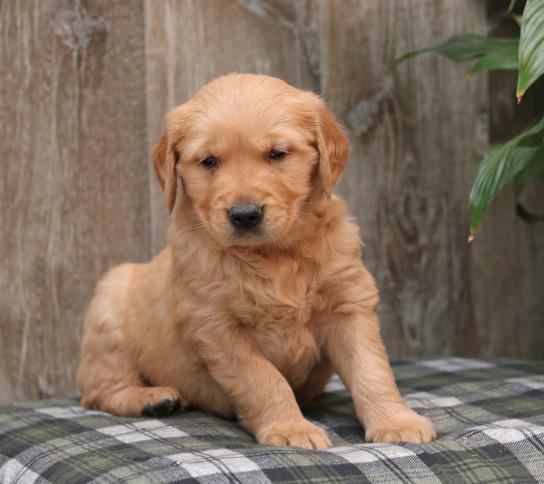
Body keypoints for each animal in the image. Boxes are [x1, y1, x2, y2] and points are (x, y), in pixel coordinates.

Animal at [77, 74, 436, 449]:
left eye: (277, 154)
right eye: (209, 161)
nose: (245, 214)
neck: (274, 254)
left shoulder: (348, 305)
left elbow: (372, 370)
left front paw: (396, 421)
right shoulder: (217, 327)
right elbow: (263, 379)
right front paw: (290, 428)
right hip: (109, 308)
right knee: (98, 392)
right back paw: (152, 399)